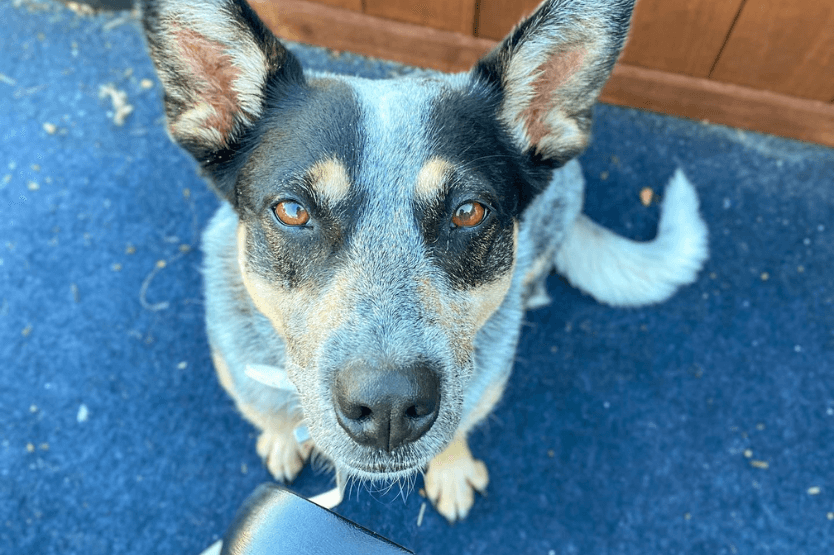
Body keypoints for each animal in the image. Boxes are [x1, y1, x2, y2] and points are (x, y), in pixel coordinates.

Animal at [140, 0, 704, 524]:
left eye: (468, 212)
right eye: (293, 211)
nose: (388, 406)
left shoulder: (482, 385)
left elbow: (461, 427)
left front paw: (452, 470)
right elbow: (267, 413)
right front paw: (280, 437)